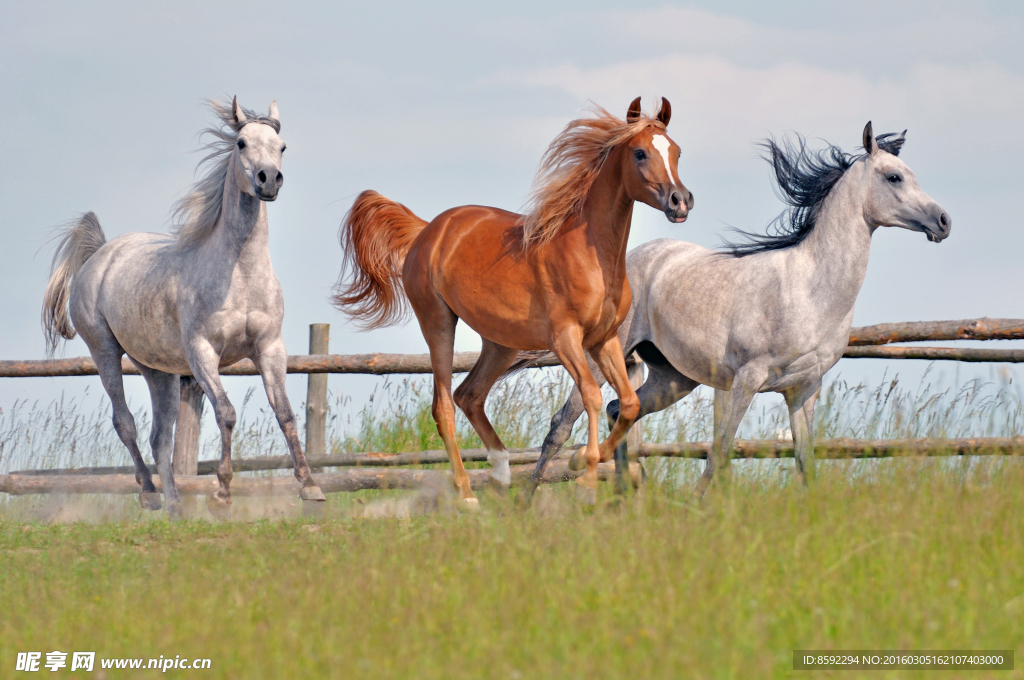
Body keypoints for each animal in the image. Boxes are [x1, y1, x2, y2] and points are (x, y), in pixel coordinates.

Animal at [43, 98, 323, 518]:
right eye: (241, 142)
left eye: (282, 146)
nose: (269, 180)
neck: (239, 273)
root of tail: (101, 255)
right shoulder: (202, 352)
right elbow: (226, 413)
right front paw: (221, 493)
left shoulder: (270, 348)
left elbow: (285, 413)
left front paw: (310, 487)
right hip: (105, 351)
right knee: (125, 422)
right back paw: (150, 494)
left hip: (158, 370)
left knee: (161, 436)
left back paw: (176, 507)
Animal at [331, 98, 692, 507]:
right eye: (640, 152)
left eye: (677, 151)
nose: (681, 202)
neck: (590, 254)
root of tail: (427, 231)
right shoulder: (565, 338)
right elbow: (592, 395)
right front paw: (584, 477)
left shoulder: (605, 339)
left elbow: (629, 403)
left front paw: (580, 461)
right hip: (438, 322)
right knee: (444, 405)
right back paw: (467, 494)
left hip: (501, 342)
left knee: (469, 395)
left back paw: (502, 475)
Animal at [528, 120, 950, 499]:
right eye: (894, 177)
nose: (943, 221)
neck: (810, 289)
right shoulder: (747, 379)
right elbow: (720, 452)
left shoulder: (804, 389)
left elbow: (804, 461)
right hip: (600, 358)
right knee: (562, 424)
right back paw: (527, 502)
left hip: (673, 379)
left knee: (620, 410)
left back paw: (626, 500)